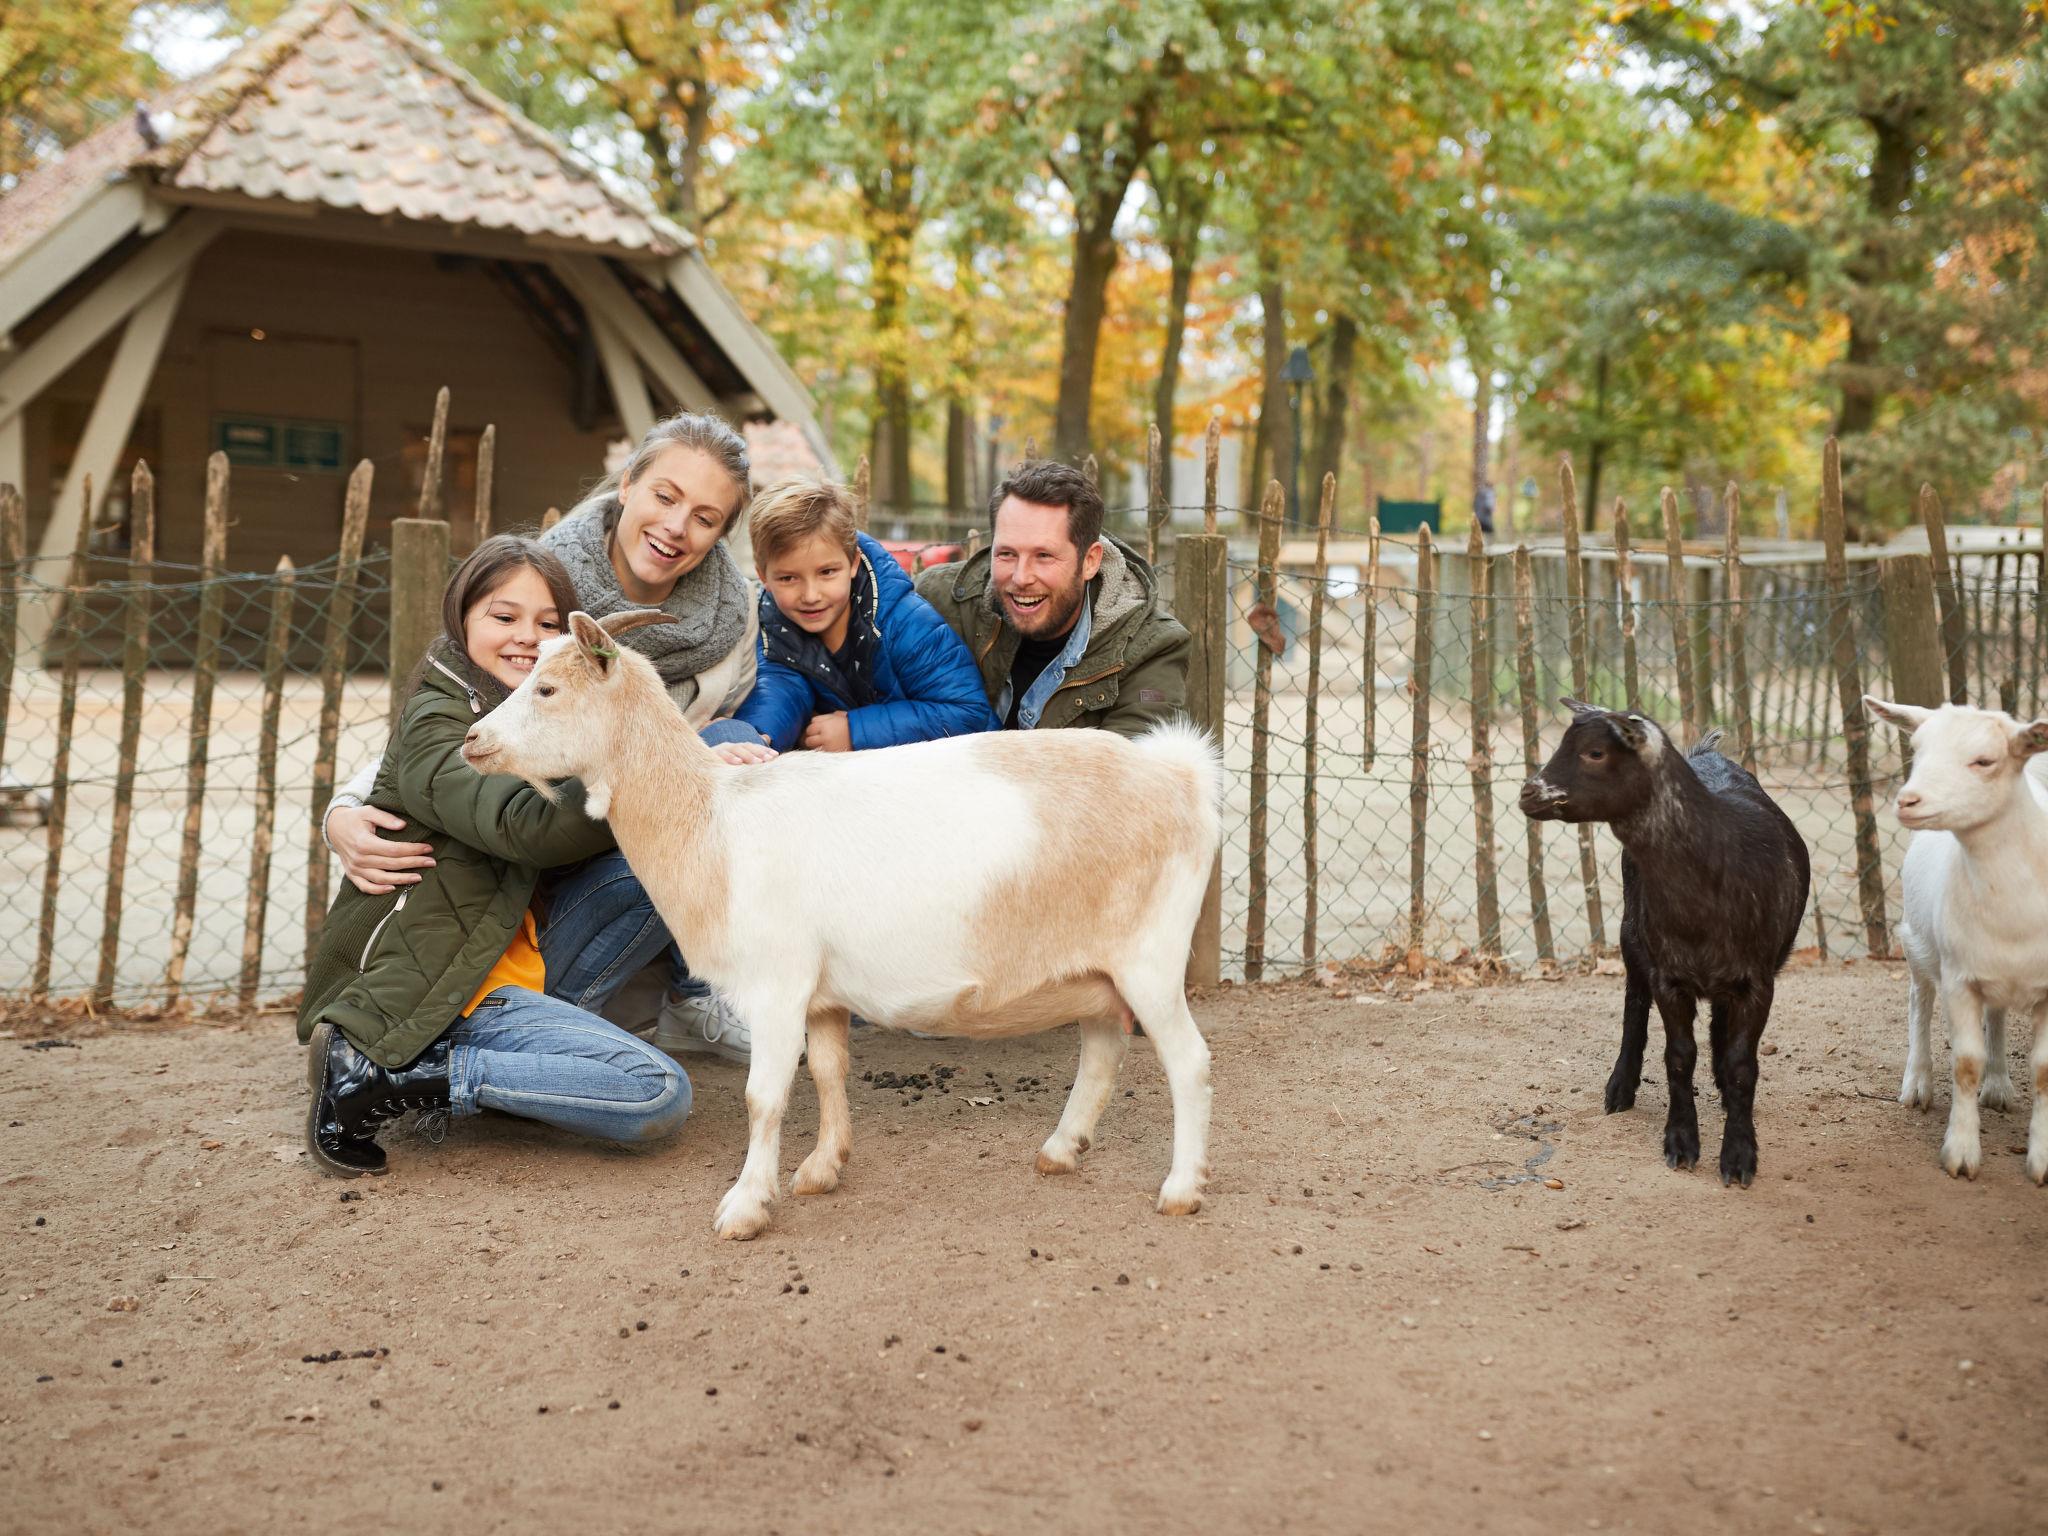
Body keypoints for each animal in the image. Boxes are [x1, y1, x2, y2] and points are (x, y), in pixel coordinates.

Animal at [464, 610, 1220, 1236]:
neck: (714, 819)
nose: (473, 739)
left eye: (548, 690)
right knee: (1103, 1049)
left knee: (1187, 1060)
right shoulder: (823, 994)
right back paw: (1061, 1151)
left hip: (1150, 959)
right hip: (1094, 966)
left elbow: (765, 1096)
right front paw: (822, 1170)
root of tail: (1182, 777)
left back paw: (1180, 1189)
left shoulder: (776, 984)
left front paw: (745, 1207)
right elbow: (829, 1071)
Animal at [1523, 704, 1810, 1187]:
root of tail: (1707, 754)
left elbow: (1742, 1065)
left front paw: (1739, 1156)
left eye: (1595, 752)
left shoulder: (1758, 980)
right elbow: (1678, 1057)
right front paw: (1681, 1143)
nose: (1529, 792)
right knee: (1634, 1006)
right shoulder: (1669, 976)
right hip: (1631, 932)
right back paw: (1620, 1088)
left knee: (1719, 1023)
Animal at [1867, 700, 2048, 1187]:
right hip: (1917, 943)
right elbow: (1966, 1063)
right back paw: (1917, 1085)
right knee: (1918, 1001)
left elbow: (2043, 1070)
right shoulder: (1959, 978)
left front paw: (2041, 1161)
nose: (1907, 800)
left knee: (1997, 1016)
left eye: (1984, 761)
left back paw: (1999, 1085)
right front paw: (1961, 1154)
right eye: (1917, 749)